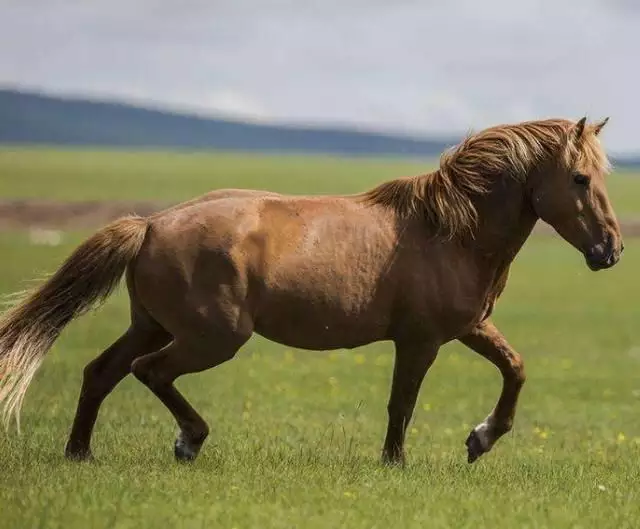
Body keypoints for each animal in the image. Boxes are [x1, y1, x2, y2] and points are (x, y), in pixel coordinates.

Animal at [0, 115, 624, 462]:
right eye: (579, 178)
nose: (611, 250)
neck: (450, 230)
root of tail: (151, 224)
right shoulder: (419, 341)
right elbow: (402, 403)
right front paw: (395, 464)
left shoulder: (469, 327)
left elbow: (515, 369)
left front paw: (480, 440)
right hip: (213, 337)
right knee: (147, 372)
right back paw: (189, 441)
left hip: (151, 324)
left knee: (101, 372)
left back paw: (80, 454)